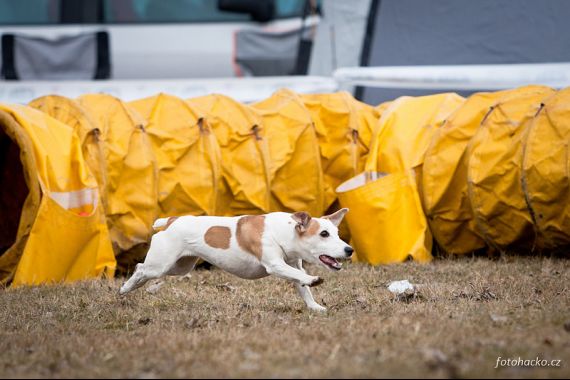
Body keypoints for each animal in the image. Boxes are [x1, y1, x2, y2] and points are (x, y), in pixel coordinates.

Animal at [118, 208, 350, 312]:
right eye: (323, 234)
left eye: (337, 234)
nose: (349, 250)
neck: (284, 232)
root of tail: (172, 220)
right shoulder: (276, 265)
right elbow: (300, 277)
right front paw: (314, 279)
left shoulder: (292, 264)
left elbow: (301, 284)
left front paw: (315, 307)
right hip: (161, 264)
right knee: (141, 268)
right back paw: (125, 288)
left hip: (180, 266)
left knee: (143, 269)